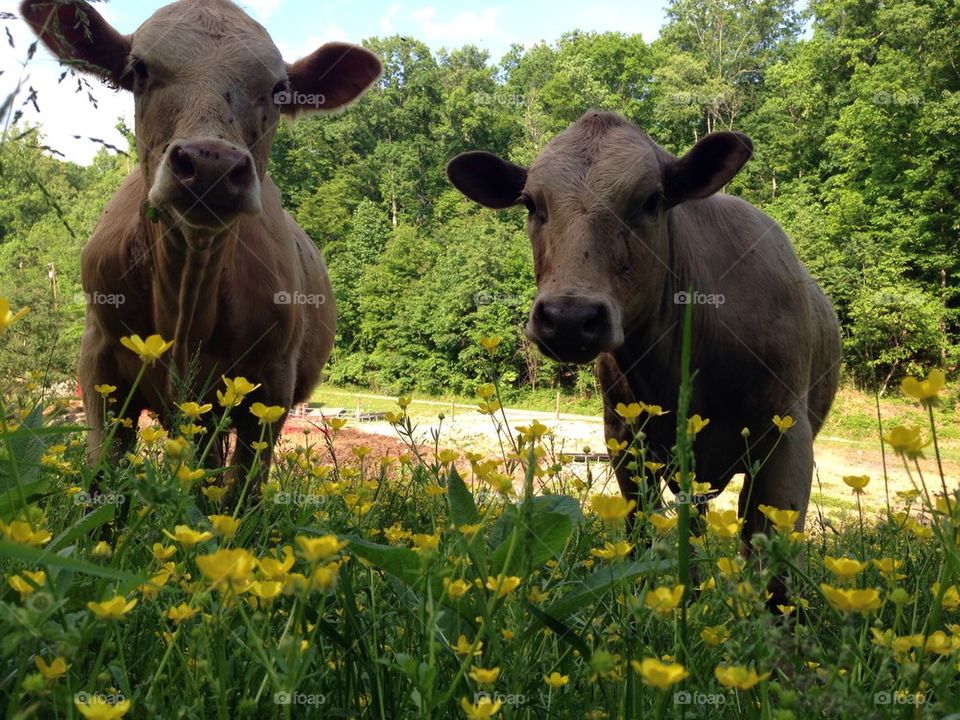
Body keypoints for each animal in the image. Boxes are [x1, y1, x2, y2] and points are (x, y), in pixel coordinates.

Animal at [21, 0, 382, 496]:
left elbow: (243, 490)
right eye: (139, 70)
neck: (187, 300)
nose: (212, 164)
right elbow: (103, 473)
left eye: (278, 90)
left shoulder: (273, 381)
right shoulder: (98, 363)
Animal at [447, 111, 841, 606]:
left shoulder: (787, 435)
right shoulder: (623, 436)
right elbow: (641, 535)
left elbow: (775, 571)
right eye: (531, 204)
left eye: (651, 201)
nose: (569, 317)